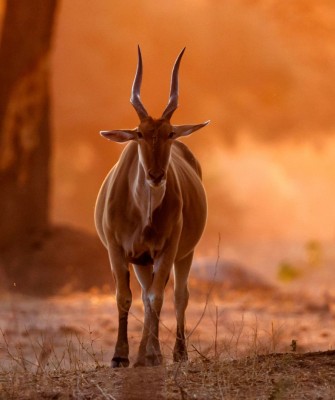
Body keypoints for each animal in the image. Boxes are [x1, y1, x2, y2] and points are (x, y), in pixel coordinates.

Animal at [95, 46, 210, 366]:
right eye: (140, 133)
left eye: (170, 133)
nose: (156, 176)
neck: (142, 213)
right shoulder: (117, 250)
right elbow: (125, 297)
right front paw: (120, 356)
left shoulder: (167, 249)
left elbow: (159, 297)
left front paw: (154, 353)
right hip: (142, 262)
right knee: (146, 295)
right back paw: (142, 354)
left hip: (183, 254)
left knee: (177, 295)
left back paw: (175, 352)